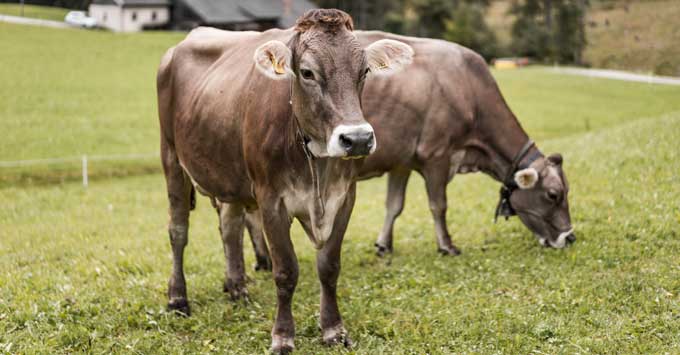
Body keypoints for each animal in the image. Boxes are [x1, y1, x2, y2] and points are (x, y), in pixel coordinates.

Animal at [158, 9, 414, 354]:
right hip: (172, 157)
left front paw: (333, 329)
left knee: (229, 227)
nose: (357, 139)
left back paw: (237, 287)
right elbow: (285, 271)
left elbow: (329, 267)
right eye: (307, 72)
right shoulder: (271, 201)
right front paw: (282, 336)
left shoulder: (345, 197)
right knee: (178, 231)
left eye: (365, 70)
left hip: (229, 176)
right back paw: (178, 299)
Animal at [244, 32, 572, 272]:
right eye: (553, 194)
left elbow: (394, 205)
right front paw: (447, 246)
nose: (570, 237)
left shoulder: (401, 161)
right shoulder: (437, 155)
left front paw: (383, 245)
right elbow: (438, 205)